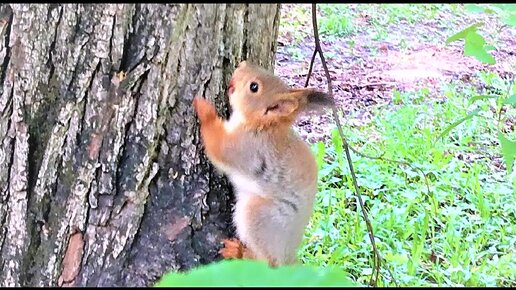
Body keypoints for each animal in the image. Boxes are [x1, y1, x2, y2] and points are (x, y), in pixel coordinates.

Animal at [191, 61, 332, 268]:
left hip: (257, 216)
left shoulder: (247, 147)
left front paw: (204, 108)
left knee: (267, 261)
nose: (233, 78)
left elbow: (218, 148)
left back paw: (239, 252)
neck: (263, 125)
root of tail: (287, 256)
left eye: (254, 87)